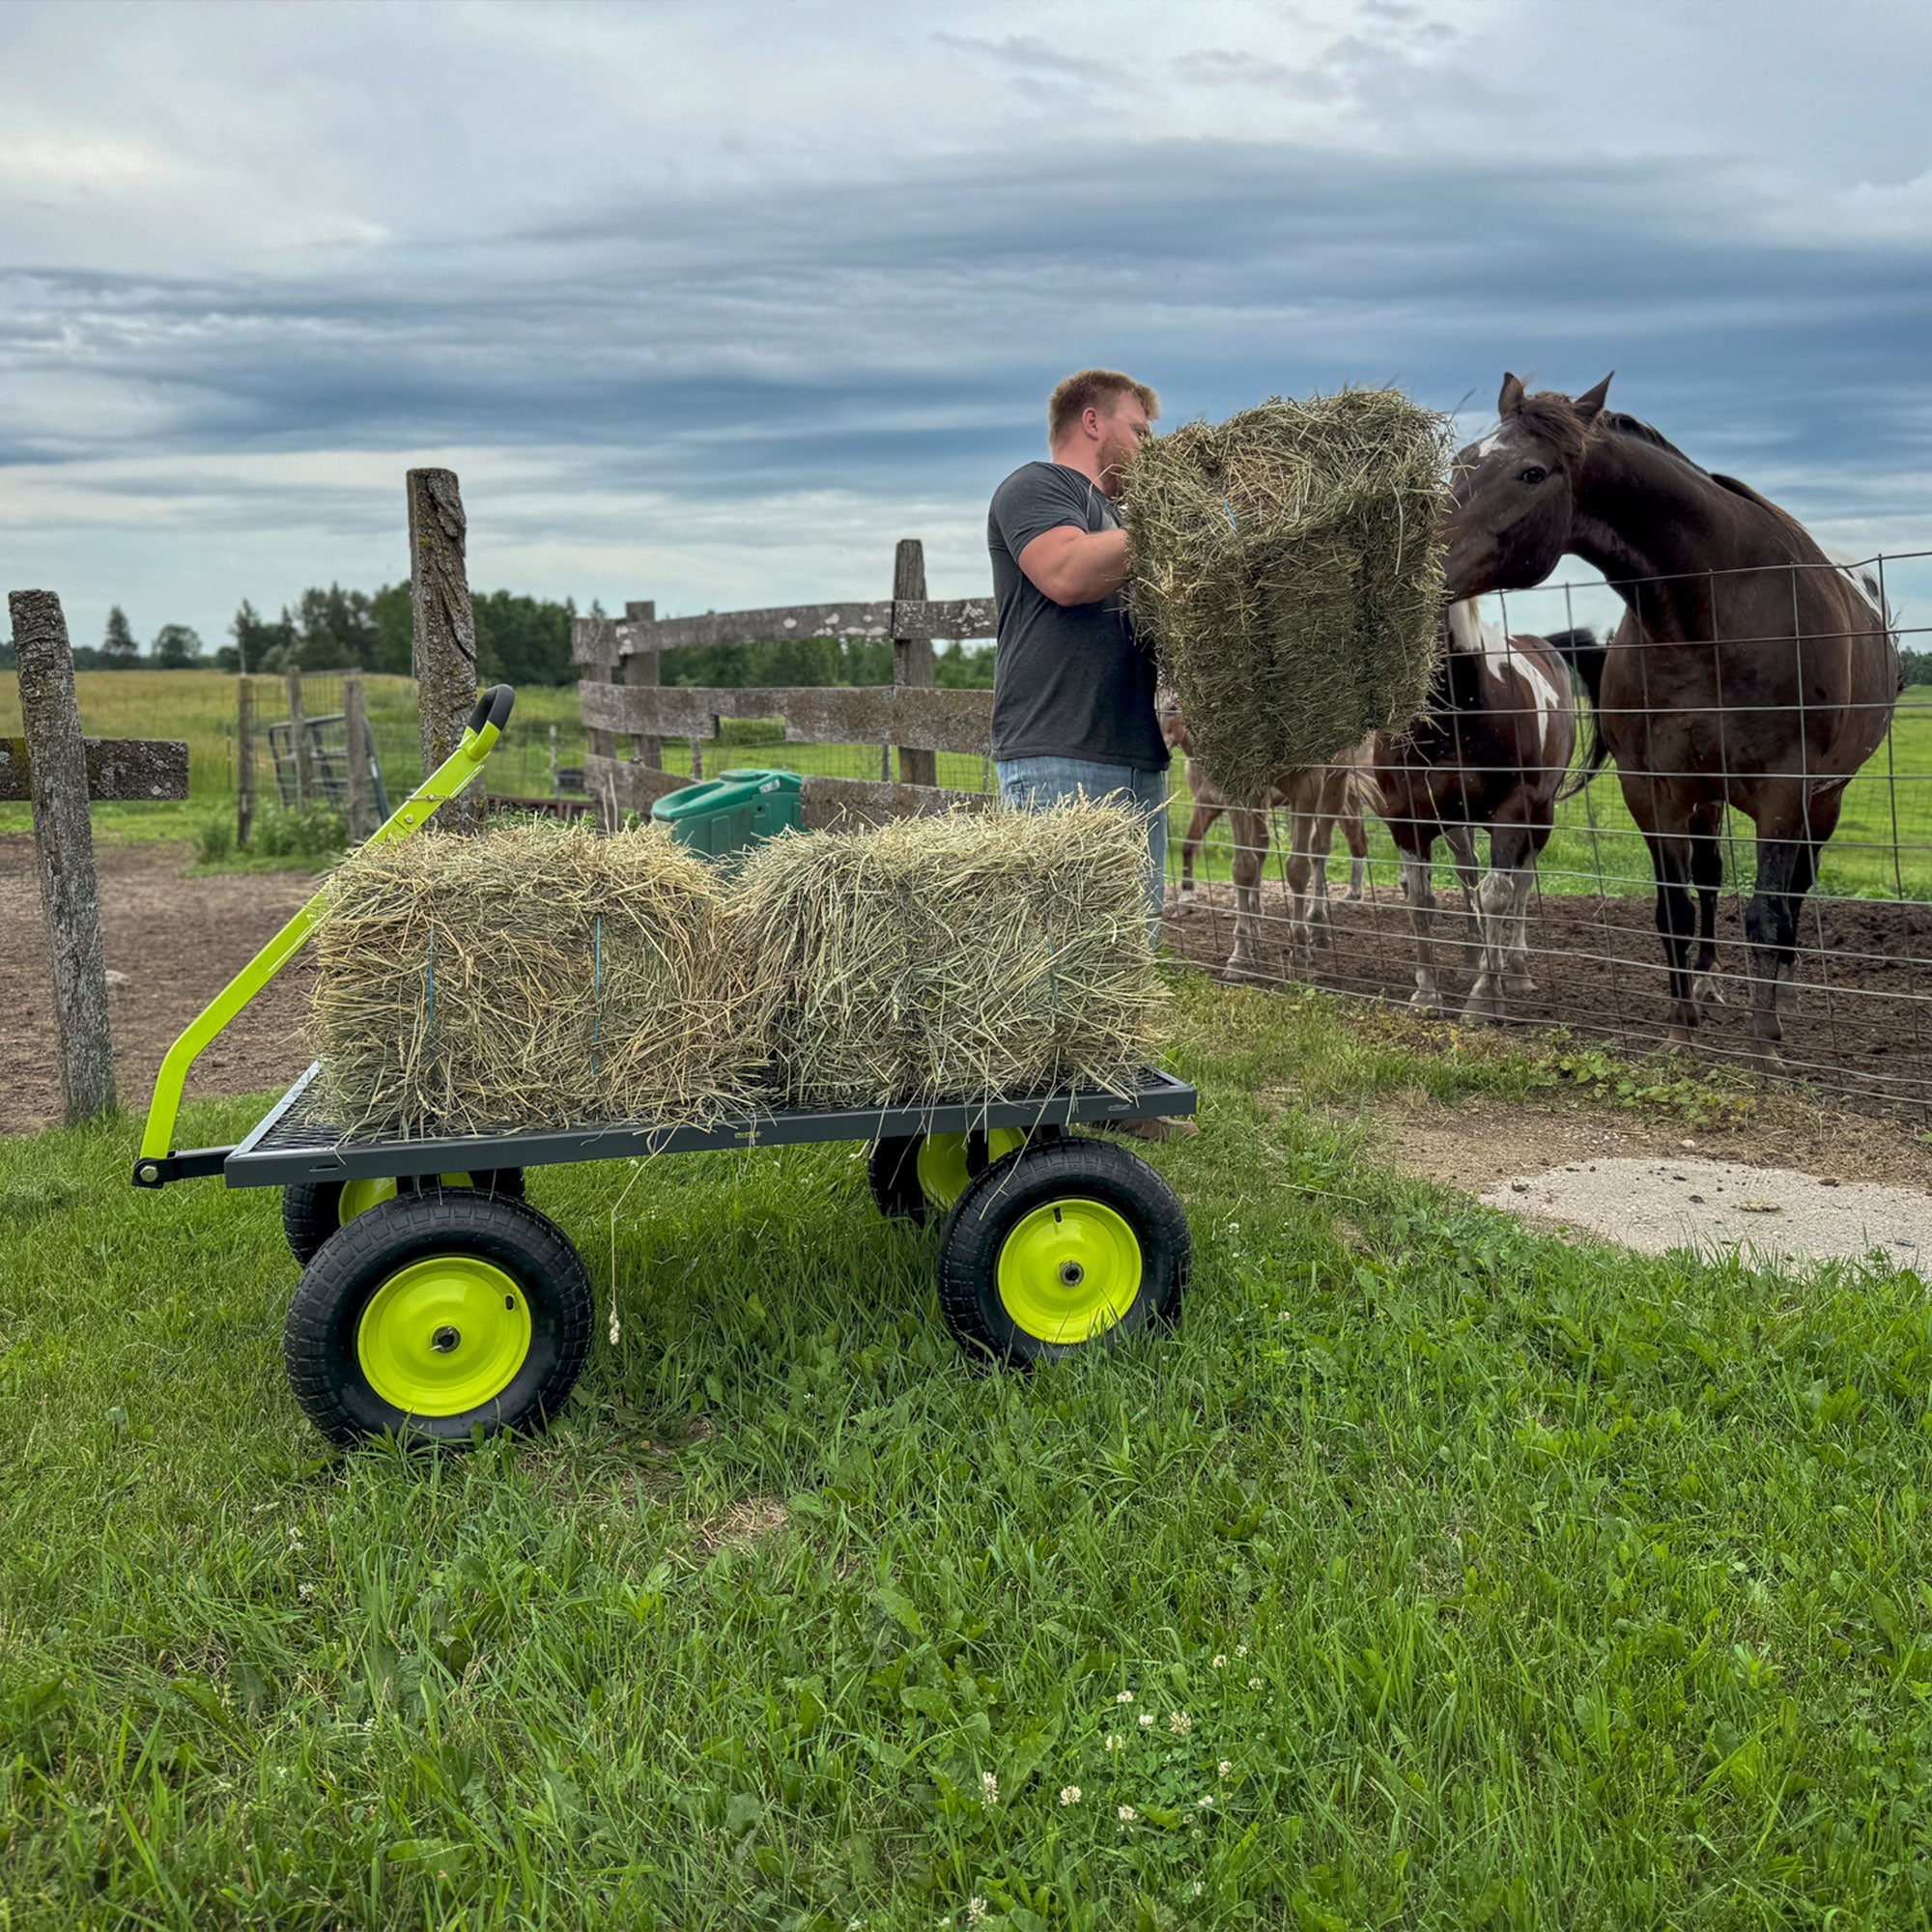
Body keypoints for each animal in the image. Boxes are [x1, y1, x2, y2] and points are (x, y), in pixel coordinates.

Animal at [1159, 692, 1376, 981]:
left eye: (1173, 707)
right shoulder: (1238, 795)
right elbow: (1245, 866)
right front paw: (1242, 952)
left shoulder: (1305, 787)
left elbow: (1297, 870)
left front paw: (1299, 953)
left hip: (1334, 784)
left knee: (1321, 850)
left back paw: (1317, 925)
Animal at [1368, 603, 1577, 1028]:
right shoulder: (1407, 819)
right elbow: (1420, 900)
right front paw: (1426, 992)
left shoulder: (1513, 811)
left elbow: (1497, 896)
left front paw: (1484, 996)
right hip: (1457, 825)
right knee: (1468, 869)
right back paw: (1475, 952)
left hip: (1540, 816)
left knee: (1522, 883)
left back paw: (1515, 970)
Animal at [1445, 371, 1893, 1066]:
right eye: (1463, 461)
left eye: (1530, 473)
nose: (1420, 562)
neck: (1711, 610)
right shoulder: (1653, 788)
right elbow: (1674, 909)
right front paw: (1682, 1028)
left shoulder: (1785, 791)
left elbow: (1766, 913)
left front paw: (1765, 1048)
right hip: (1707, 797)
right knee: (1709, 882)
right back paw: (1708, 985)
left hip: (1827, 798)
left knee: (1796, 891)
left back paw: (1785, 998)